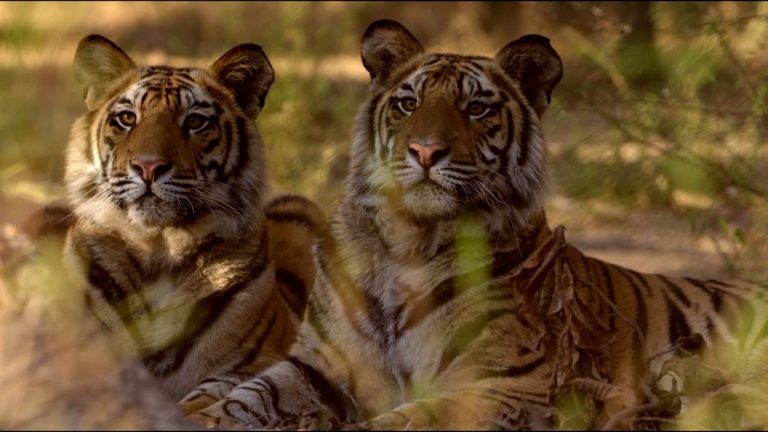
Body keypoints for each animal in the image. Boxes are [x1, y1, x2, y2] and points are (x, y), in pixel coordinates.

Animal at [185, 20, 767, 430]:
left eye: (477, 108)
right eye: (408, 103)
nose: (424, 151)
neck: (405, 244)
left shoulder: (500, 387)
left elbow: (402, 422)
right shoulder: (322, 361)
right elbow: (248, 394)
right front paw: (205, 414)